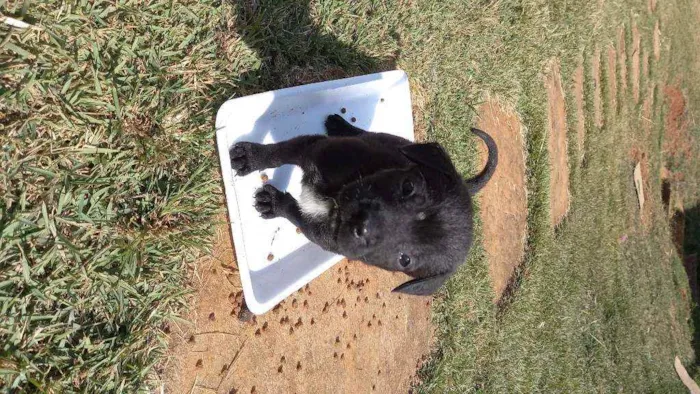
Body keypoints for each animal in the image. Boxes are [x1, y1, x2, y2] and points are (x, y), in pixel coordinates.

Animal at [230, 114, 498, 296]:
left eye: (405, 260)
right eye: (408, 187)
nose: (361, 225)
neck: (335, 198)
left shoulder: (327, 237)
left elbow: (297, 214)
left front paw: (274, 203)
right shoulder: (316, 148)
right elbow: (280, 152)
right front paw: (251, 157)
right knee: (366, 135)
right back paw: (340, 125)